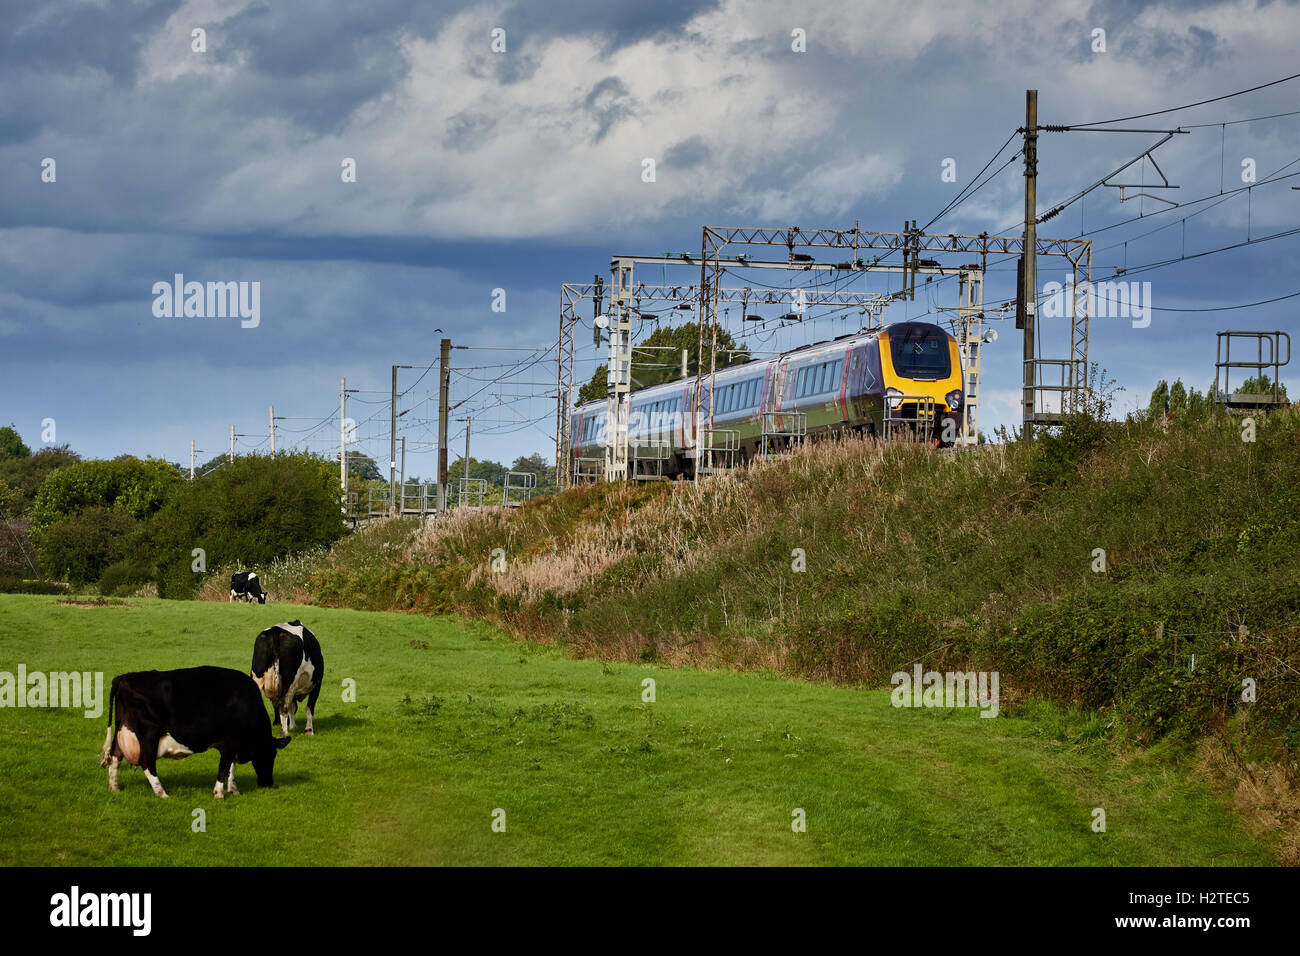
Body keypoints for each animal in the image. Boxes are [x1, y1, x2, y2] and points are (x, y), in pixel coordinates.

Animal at [97, 665, 291, 801]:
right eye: (271, 754)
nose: (268, 783)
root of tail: (124, 678)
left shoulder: (232, 745)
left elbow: (230, 768)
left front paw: (233, 789)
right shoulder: (230, 742)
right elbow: (224, 768)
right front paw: (219, 793)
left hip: (123, 729)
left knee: (115, 757)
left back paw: (114, 788)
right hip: (148, 734)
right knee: (146, 762)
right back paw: (162, 793)